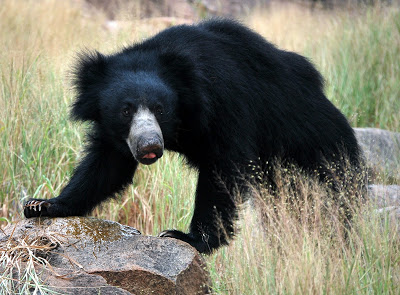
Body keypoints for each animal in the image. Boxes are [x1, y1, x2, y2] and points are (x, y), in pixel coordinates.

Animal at [24, 19, 362, 254]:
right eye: (125, 110)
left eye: (160, 109)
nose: (150, 146)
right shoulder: (116, 137)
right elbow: (106, 166)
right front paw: (43, 205)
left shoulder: (227, 105)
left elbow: (223, 171)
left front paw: (187, 238)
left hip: (316, 152)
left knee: (325, 204)